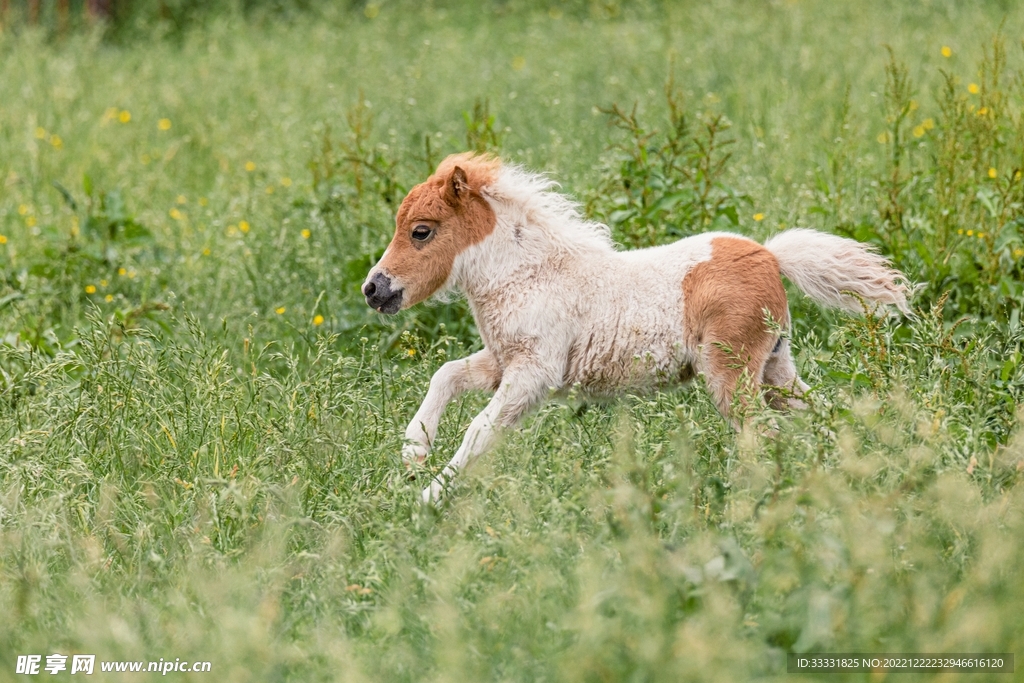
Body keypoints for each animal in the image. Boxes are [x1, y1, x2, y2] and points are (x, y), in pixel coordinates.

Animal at [362, 152, 911, 503]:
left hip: (730, 374)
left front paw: (427, 500)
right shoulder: (503, 361)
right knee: (819, 416)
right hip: (776, 367)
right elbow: (446, 375)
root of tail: (771, 255)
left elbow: (480, 429)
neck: (530, 275)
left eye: (421, 231)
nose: (373, 288)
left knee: (765, 433)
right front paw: (413, 455)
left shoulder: (533, 374)